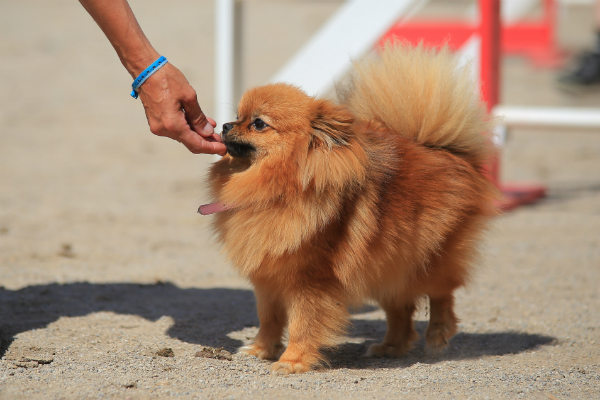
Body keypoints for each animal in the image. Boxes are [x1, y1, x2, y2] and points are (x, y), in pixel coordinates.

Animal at [204, 44, 500, 376]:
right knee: (402, 308)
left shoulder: (310, 280)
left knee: (441, 294)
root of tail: (444, 150)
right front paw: (260, 350)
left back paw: (438, 334)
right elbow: (269, 319)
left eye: (257, 123)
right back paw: (391, 346)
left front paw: (292, 361)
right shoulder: (268, 278)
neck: (279, 187)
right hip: (386, 261)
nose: (225, 125)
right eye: (237, 116)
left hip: (429, 258)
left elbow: (302, 324)